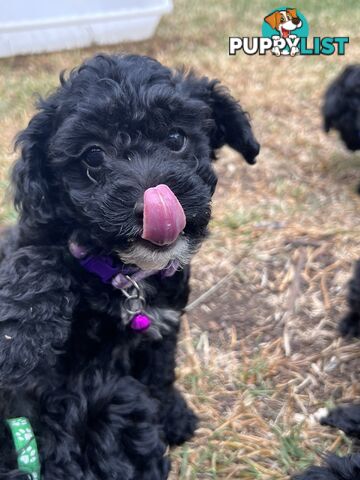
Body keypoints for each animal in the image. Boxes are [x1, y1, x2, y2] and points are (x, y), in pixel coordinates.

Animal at [0, 54, 260, 478]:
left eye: (176, 139)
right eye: (93, 155)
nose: (150, 204)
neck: (125, 276)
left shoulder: (163, 327)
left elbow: (160, 373)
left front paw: (171, 414)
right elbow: (41, 253)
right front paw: (19, 337)